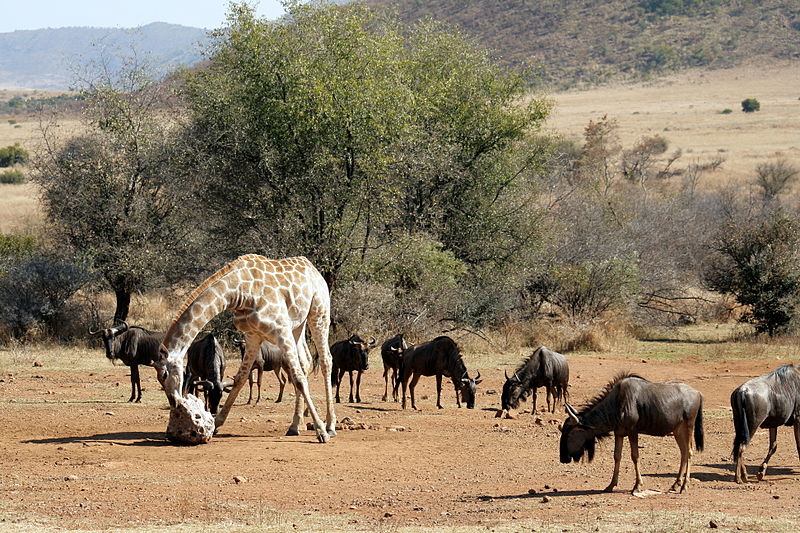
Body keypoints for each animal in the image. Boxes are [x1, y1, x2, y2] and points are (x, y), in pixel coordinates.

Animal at [154, 254, 338, 440]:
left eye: (164, 375)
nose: (174, 402)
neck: (239, 292)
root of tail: (314, 269)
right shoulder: (252, 336)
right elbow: (240, 379)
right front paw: (216, 424)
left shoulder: (281, 331)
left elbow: (298, 379)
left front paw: (321, 431)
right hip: (298, 324)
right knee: (306, 360)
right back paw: (295, 425)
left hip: (319, 313)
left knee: (326, 360)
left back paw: (330, 425)